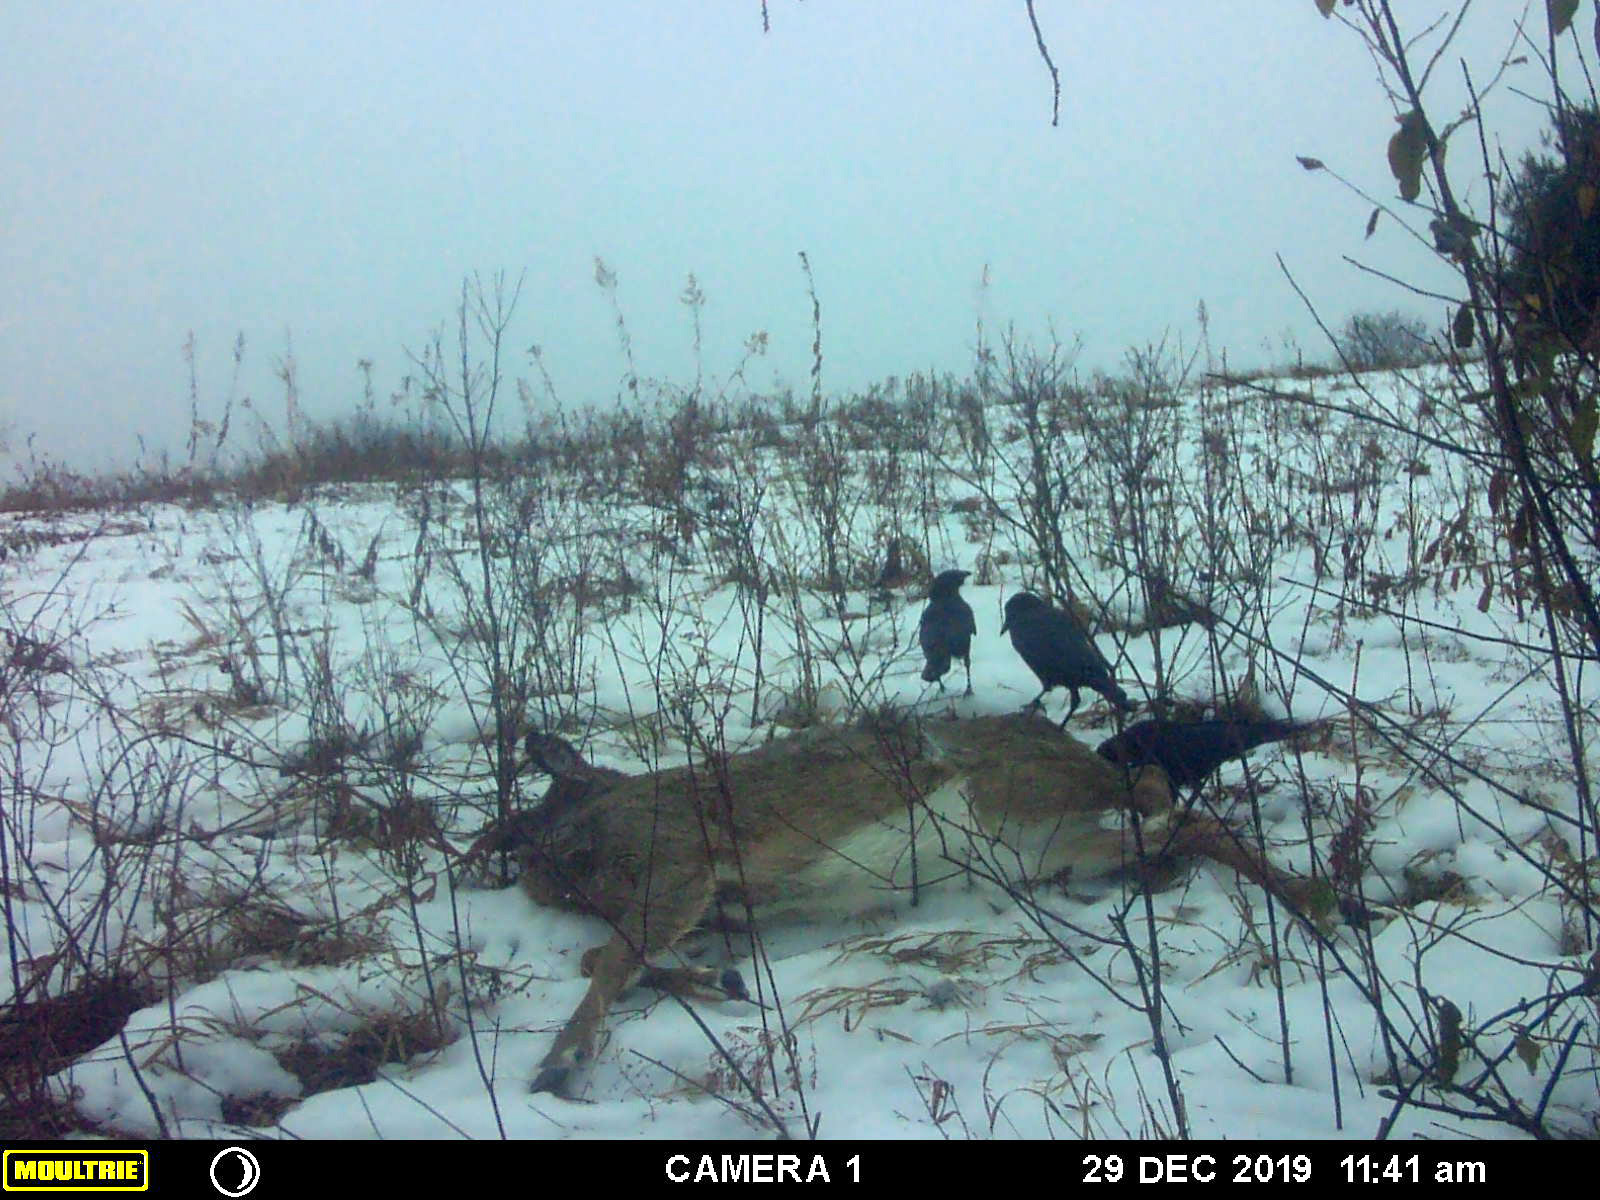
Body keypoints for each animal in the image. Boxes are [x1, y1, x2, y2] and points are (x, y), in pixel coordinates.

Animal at [501, 710, 1325, 1097]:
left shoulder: (676, 864)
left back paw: (1319, 901)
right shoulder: (707, 904)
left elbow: (610, 960)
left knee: (1166, 796)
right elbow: (610, 955)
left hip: (1026, 795)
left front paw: (558, 1062)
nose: (524, 870)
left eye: (546, 819)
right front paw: (720, 980)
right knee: (1175, 819)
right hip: (1045, 842)